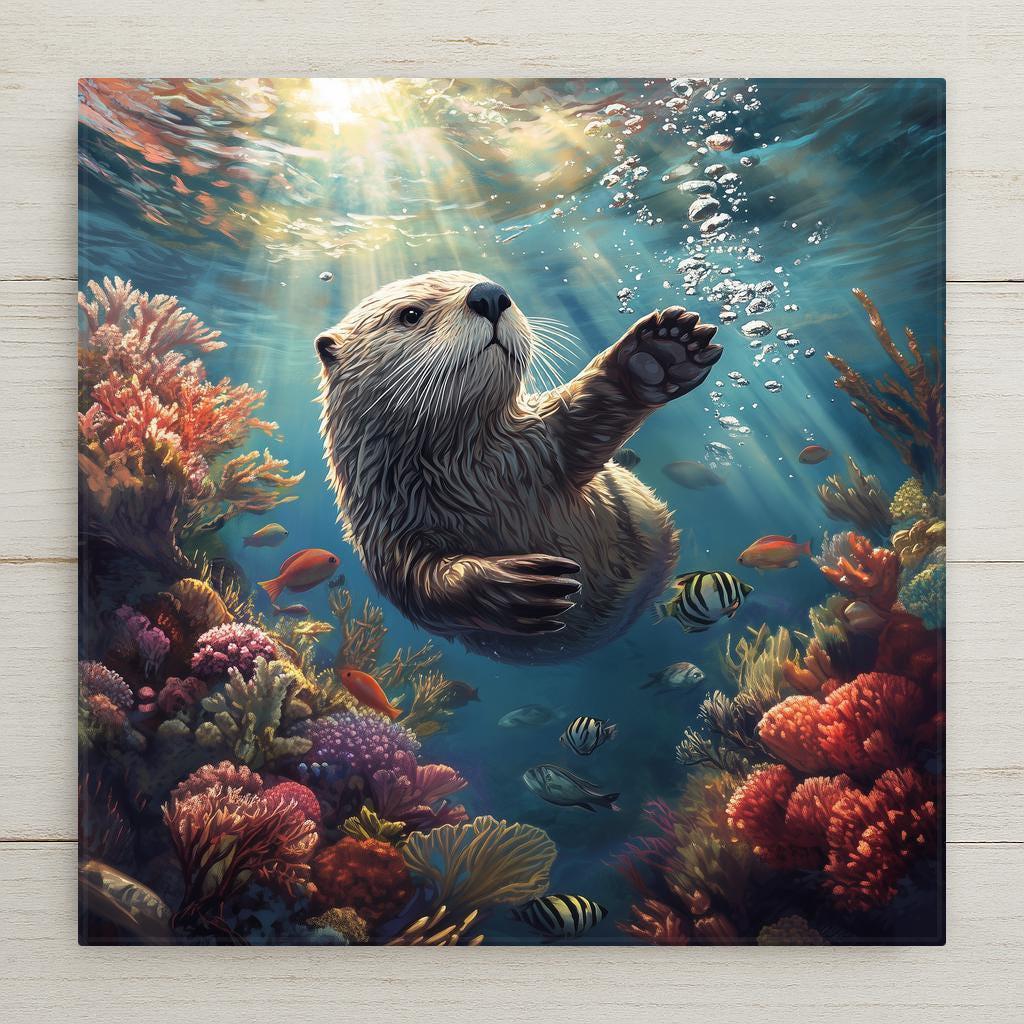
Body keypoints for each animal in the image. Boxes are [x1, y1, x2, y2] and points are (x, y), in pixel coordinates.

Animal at [316, 271, 722, 664]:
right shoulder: (381, 528)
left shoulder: (541, 440)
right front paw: (518, 587)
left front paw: (660, 352)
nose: (489, 294)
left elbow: (588, 413)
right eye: (410, 314)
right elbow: (418, 586)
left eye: (487, 281)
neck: (468, 475)